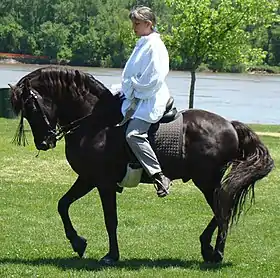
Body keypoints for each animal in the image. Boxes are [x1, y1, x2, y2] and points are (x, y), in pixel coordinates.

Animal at [9, 66, 274, 266]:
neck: (96, 122)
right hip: (209, 182)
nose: (44, 142)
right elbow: (62, 205)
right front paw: (78, 243)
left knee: (223, 210)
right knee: (222, 208)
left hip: (206, 181)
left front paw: (111, 255)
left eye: (31, 107)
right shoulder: (87, 178)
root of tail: (230, 125)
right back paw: (208, 248)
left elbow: (110, 219)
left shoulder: (103, 183)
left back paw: (215, 252)